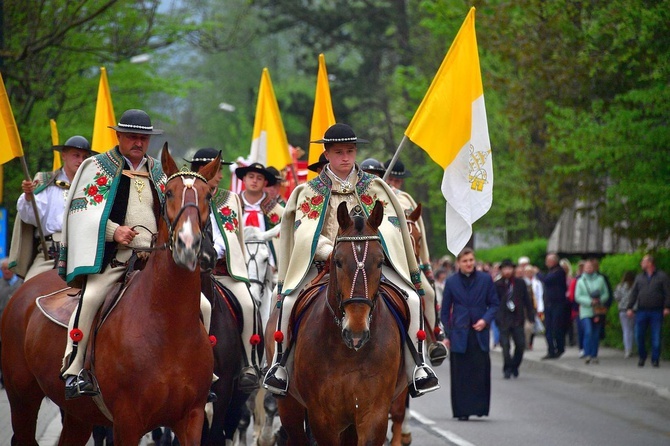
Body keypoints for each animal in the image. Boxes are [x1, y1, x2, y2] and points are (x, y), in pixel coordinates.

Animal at [0, 147, 218, 446]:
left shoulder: (192, 420)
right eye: (169, 193)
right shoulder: (127, 422)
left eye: (207, 195)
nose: (188, 244)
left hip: (78, 416)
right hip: (22, 398)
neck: (168, 326)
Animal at [270, 203, 406, 446]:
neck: (348, 354)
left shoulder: (373, 413)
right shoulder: (323, 418)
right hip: (289, 408)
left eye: (380, 261)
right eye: (338, 262)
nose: (356, 332)